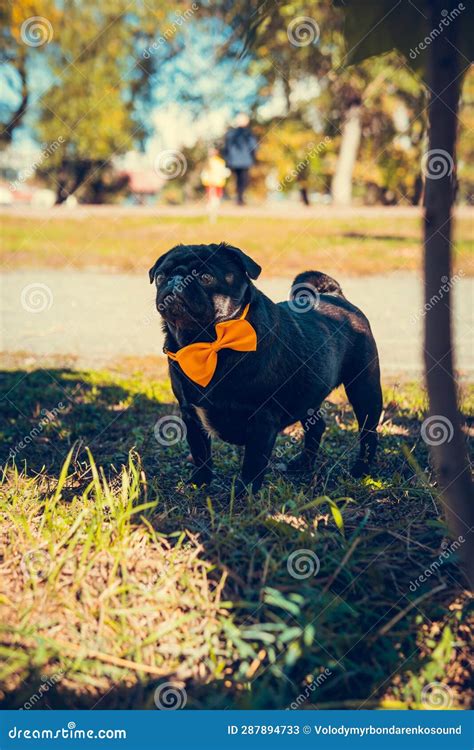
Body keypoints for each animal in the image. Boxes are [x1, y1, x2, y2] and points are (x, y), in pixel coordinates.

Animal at [150, 244, 384, 496]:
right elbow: (201, 453)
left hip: (364, 389)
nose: (175, 280)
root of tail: (335, 296)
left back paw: (361, 470)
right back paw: (303, 463)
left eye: (205, 277)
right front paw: (200, 482)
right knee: (316, 426)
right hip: (308, 394)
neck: (207, 344)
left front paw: (244, 493)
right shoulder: (190, 414)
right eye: (161, 276)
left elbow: (253, 462)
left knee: (368, 433)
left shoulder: (262, 419)